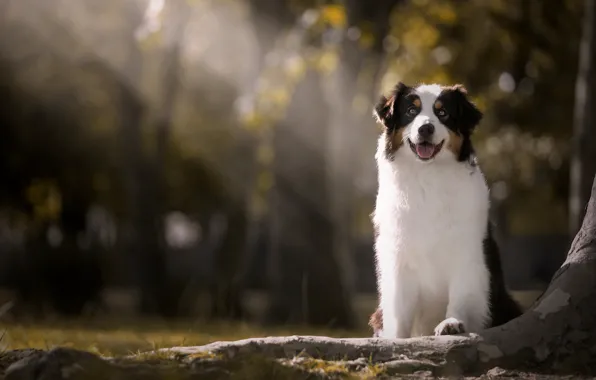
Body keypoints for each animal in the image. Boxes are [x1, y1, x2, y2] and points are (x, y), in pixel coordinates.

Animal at [368, 81, 520, 338]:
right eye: (411, 111)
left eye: (443, 113)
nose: (426, 129)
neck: (428, 174)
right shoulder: (399, 255)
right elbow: (399, 308)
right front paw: (395, 338)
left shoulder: (467, 250)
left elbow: (461, 293)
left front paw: (452, 323)